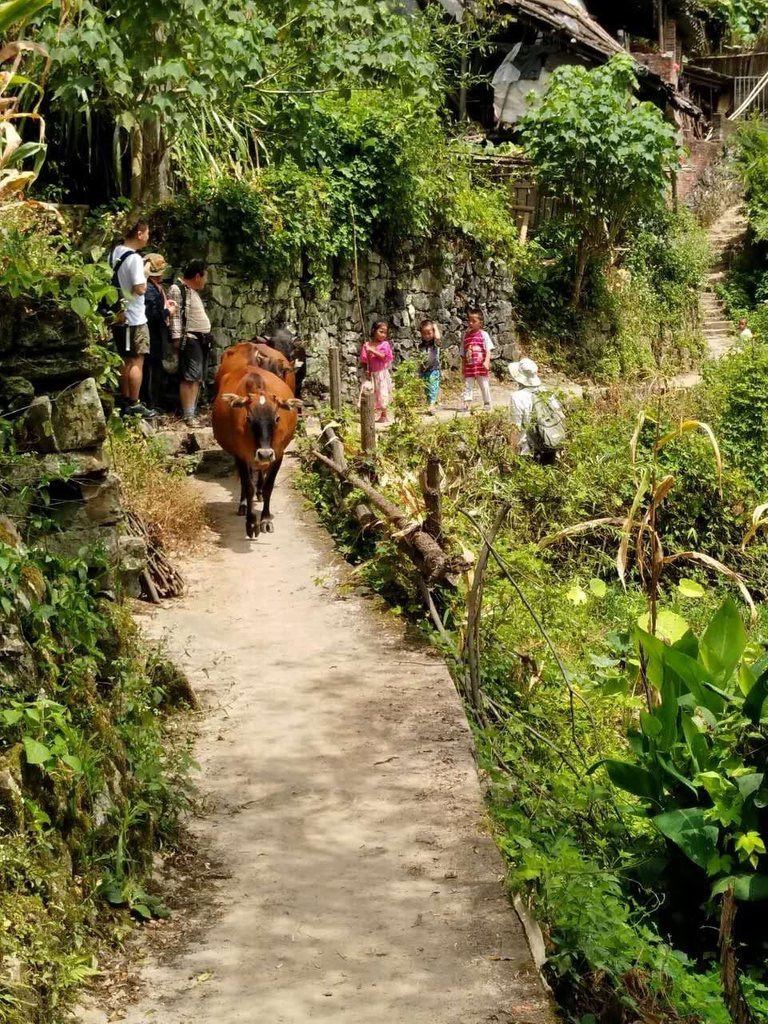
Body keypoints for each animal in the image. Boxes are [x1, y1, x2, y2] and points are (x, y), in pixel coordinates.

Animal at [214, 366, 307, 540]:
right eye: (249, 419)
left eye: (277, 418)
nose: (264, 454)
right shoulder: (241, 455)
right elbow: (248, 486)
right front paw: (251, 522)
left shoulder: (278, 455)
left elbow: (268, 487)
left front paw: (265, 520)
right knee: (246, 481)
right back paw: (243, 504)